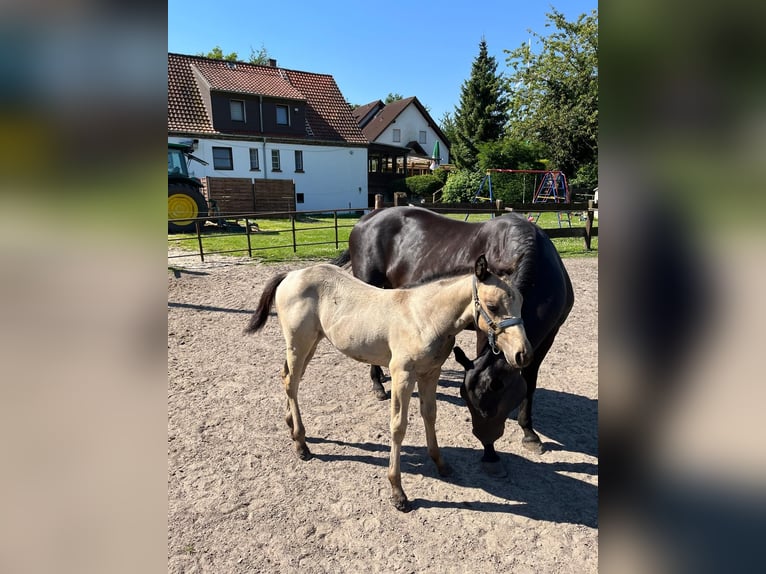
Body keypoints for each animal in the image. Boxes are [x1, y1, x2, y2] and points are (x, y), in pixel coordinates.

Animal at [336, 207, 576, 472]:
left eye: (490, 408)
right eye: (469, 402)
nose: (487, 449)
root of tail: (367, 218)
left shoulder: (548, 337)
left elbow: (530, 383)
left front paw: (529, 432)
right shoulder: (484, 330)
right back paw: (377, 383)